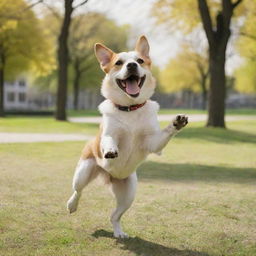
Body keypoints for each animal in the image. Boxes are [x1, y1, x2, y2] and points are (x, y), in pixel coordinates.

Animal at [66, 35, 188, 238]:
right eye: (118, 63)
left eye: (139, 60)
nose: (131, 65)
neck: (131, 108)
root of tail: (108, 175)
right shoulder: (109, 133)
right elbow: (109, 139)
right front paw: (110, 150)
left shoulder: (152, 142)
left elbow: (162, 135)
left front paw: (176, 123)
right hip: (84, 171)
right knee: (78, 191)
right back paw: (72, 205)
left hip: (129, 193)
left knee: (114, 216)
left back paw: (119, 232)